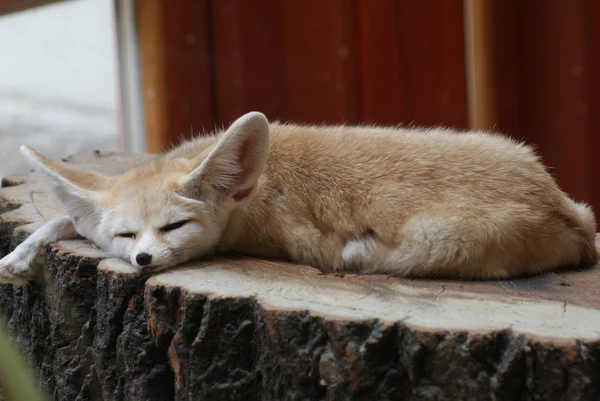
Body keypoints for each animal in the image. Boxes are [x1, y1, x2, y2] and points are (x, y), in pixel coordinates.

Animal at [0, 111, 596, 282]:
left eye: (174, 227)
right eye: (126, 236)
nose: (144, 259)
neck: (250, 192)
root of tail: (564, 206)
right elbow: (66, 220)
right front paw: (19, 256)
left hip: (434, 241)